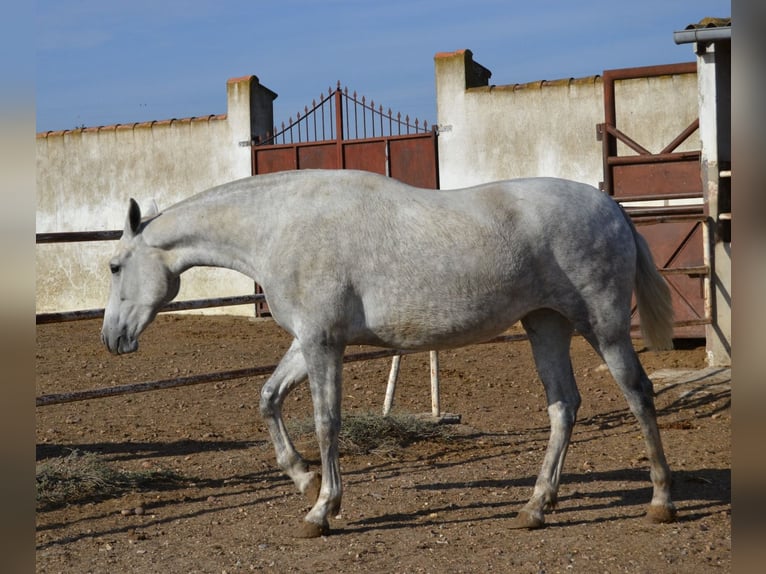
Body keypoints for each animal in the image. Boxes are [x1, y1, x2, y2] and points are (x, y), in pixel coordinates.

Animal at [100, 169, 680, 536]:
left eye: (113, 266)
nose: (111, 339)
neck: (281, 225)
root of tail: (612, 208)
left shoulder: (322, 344)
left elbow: (326, 423)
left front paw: (322, 510)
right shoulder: (309, 341)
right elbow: (268, 399)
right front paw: (303, 478)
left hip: (602, 326)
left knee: (638, 393)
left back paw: (660, 502)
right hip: (546, 326)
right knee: (564, 406)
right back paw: (536, 506)